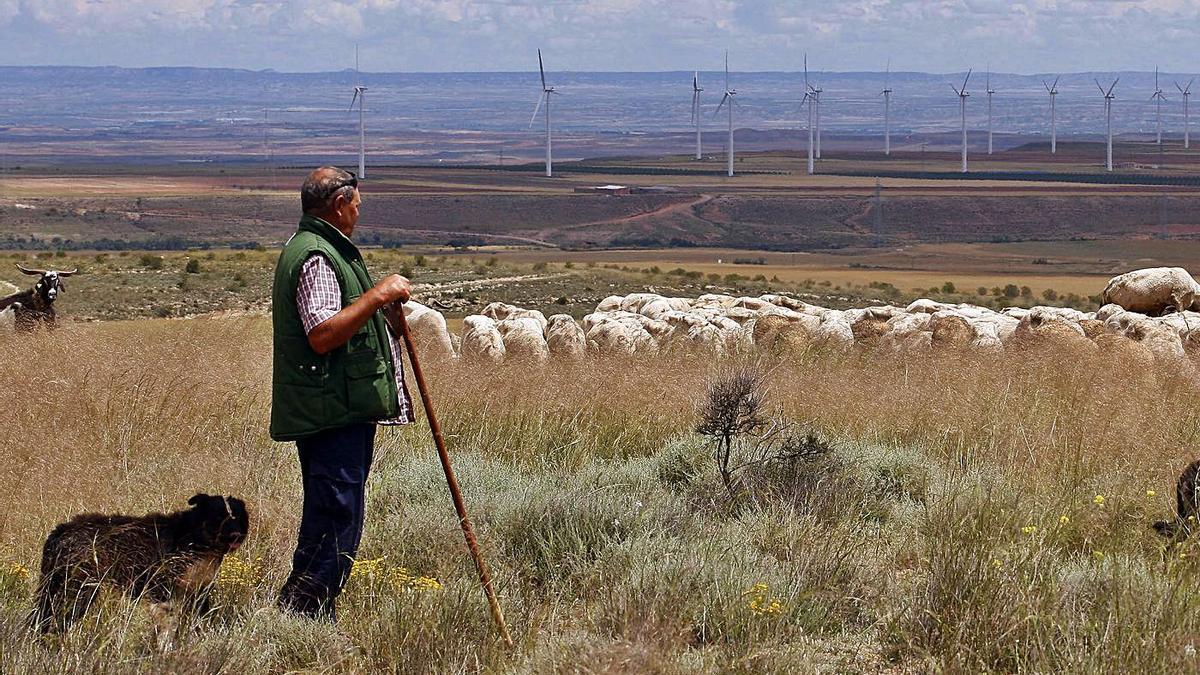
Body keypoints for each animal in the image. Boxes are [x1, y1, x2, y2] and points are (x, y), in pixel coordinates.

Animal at [34, 487, 248, 629]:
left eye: (238, 516)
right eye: (218, 516)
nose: (236, 535)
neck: (195, 538)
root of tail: (61, 530)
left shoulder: (198, 592)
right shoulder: (161, 590)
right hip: (77, 590)